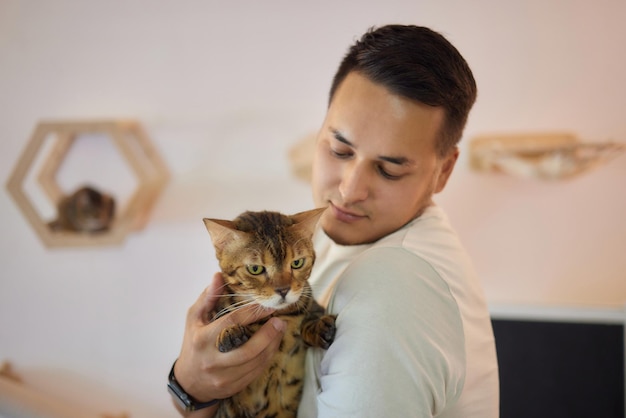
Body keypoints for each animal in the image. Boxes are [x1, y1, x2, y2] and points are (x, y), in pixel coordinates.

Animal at [202, 209, 334, 418]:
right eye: (255, 269)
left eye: (297, 263)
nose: (283, 290)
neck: (275, 315)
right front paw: (229, 333)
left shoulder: (310, 304)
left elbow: (310, 317)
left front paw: (319, 327)